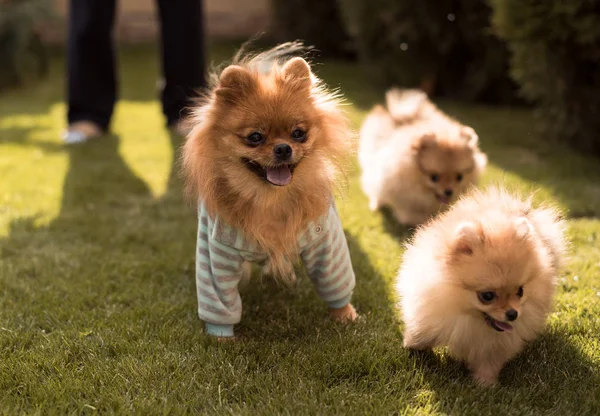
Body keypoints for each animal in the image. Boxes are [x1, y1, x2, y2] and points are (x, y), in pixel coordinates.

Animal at [180, 43, 358, 338]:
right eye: (255, 137)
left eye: (298, 133)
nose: (283, 148)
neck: (270, 200)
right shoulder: (216, 253)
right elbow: (219, 299)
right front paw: (221, 336)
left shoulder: (325, 242)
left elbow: (335, 281)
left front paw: (344, 314)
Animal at [396, 187, 564, 386]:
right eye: (487, 296)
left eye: (520, 291)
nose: (513, 314)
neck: (468, 318)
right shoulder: (431, 309)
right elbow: (422, 330)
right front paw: (412, 345)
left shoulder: (496, 345)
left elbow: (489, 362)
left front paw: (485, 383)